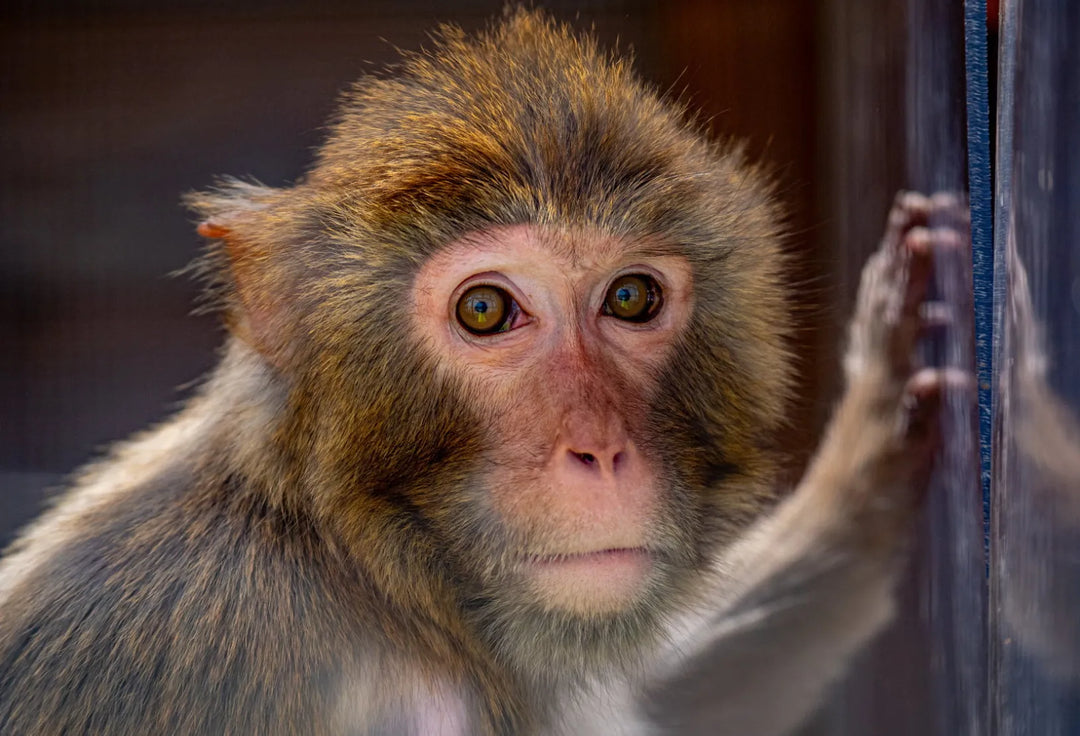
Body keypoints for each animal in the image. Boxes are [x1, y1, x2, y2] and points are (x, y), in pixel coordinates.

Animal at [0, 10, 968, 736]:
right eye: (485, 311)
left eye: (630, 297)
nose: (599, 451)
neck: (370, 579)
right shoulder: (212, 640)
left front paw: (867, 455)